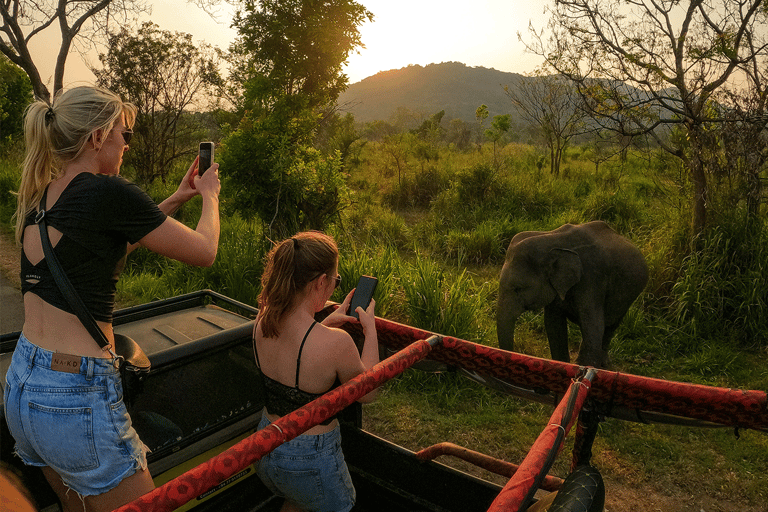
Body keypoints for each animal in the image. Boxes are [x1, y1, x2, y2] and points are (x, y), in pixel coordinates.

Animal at [498, 220, 648, 368]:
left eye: (518, 289)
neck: (551, 238)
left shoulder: (592, 279)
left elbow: (594, 326)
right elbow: (554, 324)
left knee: (610, 326)